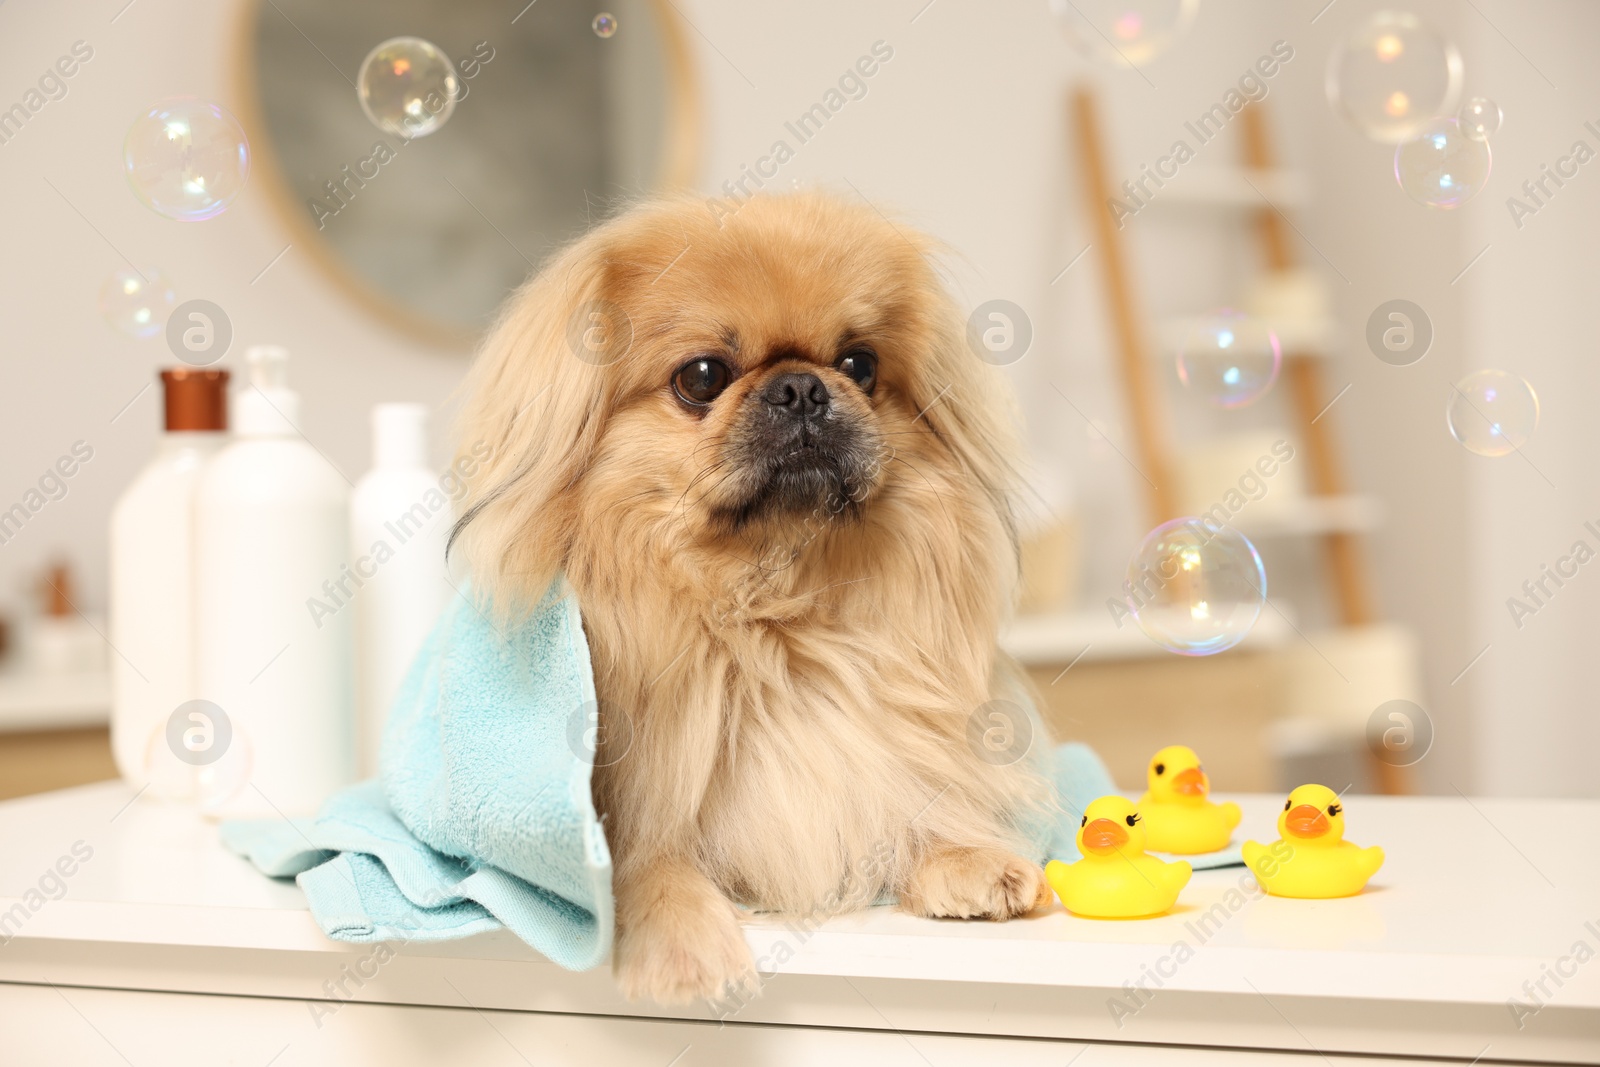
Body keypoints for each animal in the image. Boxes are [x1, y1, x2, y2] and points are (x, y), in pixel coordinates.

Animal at [451, 189, 1049, 1004]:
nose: (802, 387)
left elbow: (908, 797)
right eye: (703, 376)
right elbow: (642, 865)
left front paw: (964, 855)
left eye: (860, 364)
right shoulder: (624, 807)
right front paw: (684, 942)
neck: (770, 611)